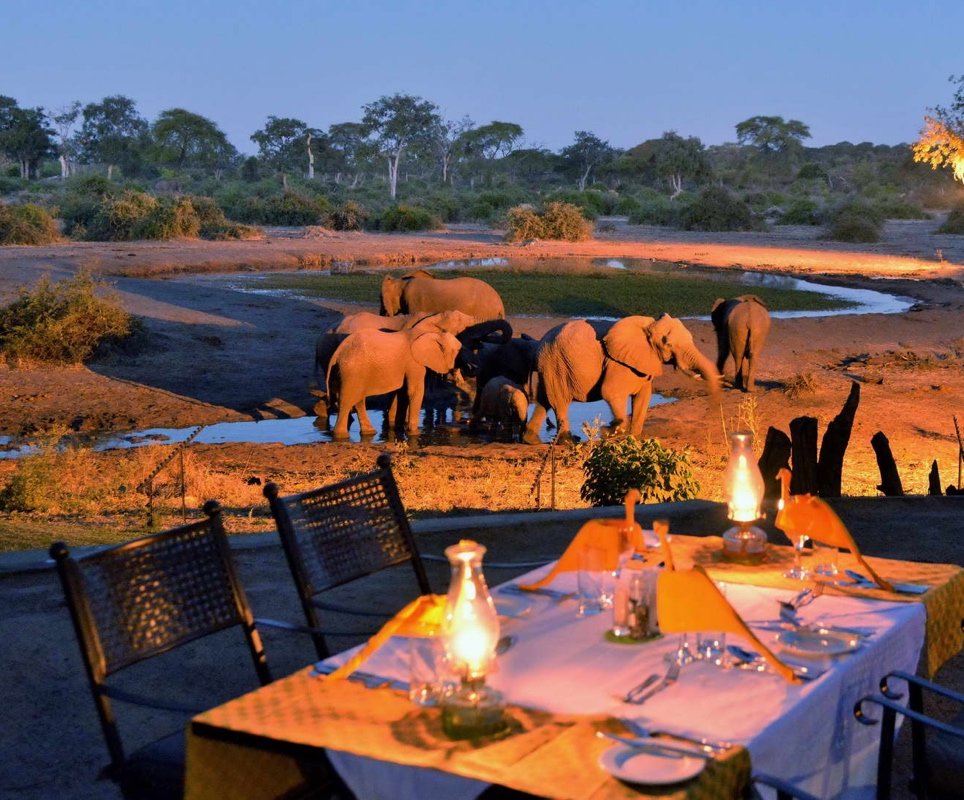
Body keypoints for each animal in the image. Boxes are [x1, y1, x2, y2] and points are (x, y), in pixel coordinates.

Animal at [326, 328, 466, 438]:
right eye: (458, 351)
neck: (433, 333)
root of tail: (338, 351)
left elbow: (400, 393)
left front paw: (397, 427)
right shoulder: (414, 363)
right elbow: (414, 391)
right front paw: (414, 433)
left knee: (358, 399)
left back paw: (370, 432)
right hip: (352, 371)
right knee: (347, 401)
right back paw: (341, 435)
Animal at [524, 312, 720, 446]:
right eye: (668, 344)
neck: (648, 326)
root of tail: (539, 345)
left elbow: (643, 397)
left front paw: (634, 437)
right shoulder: (616, 362)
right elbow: (611, 392)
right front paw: (610, 431)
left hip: (551, 366)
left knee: (543, 400)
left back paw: (531, 440)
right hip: (556, 364)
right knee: (559, 402)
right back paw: (569, 441)